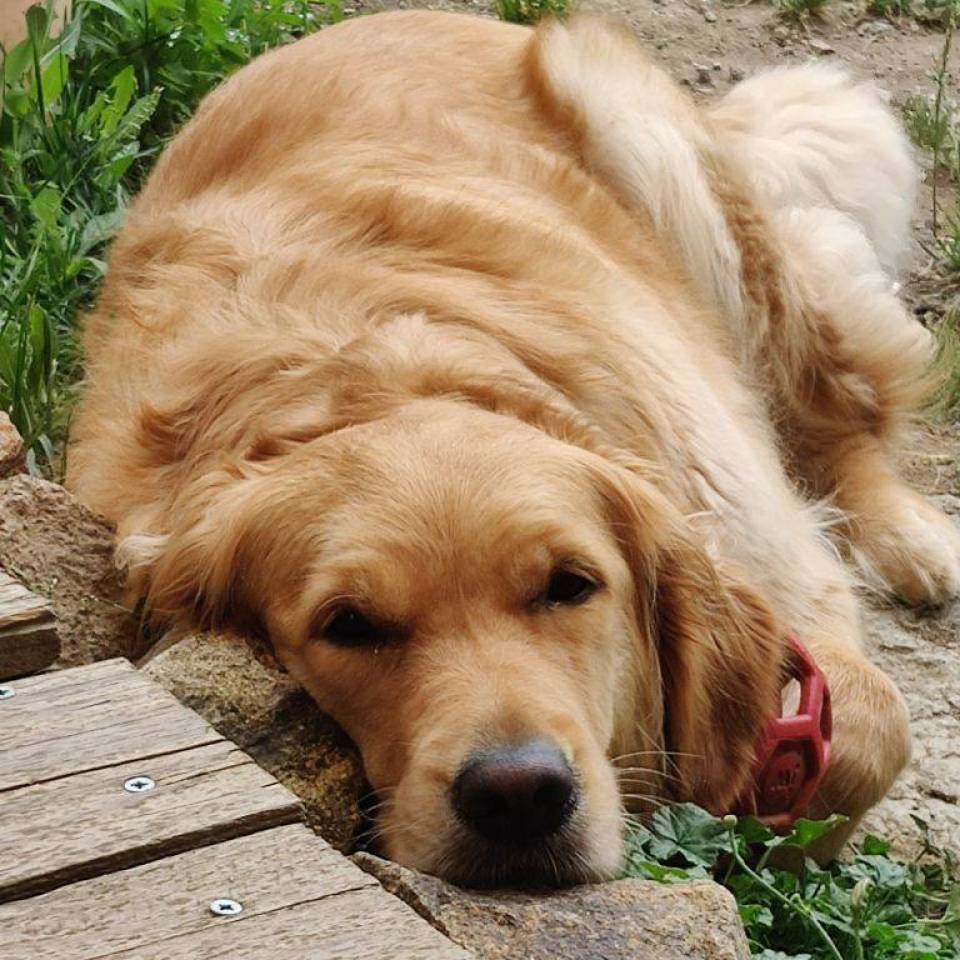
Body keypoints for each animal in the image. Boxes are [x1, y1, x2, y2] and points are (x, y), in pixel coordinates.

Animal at [65, 11, 952, 888]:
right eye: (347, 625)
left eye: (570, 586)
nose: (519, 794)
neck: (375, 376)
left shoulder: (760, 548)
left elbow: (868, 731)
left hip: (646, 140)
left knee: (838, 400)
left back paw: (909, 536)